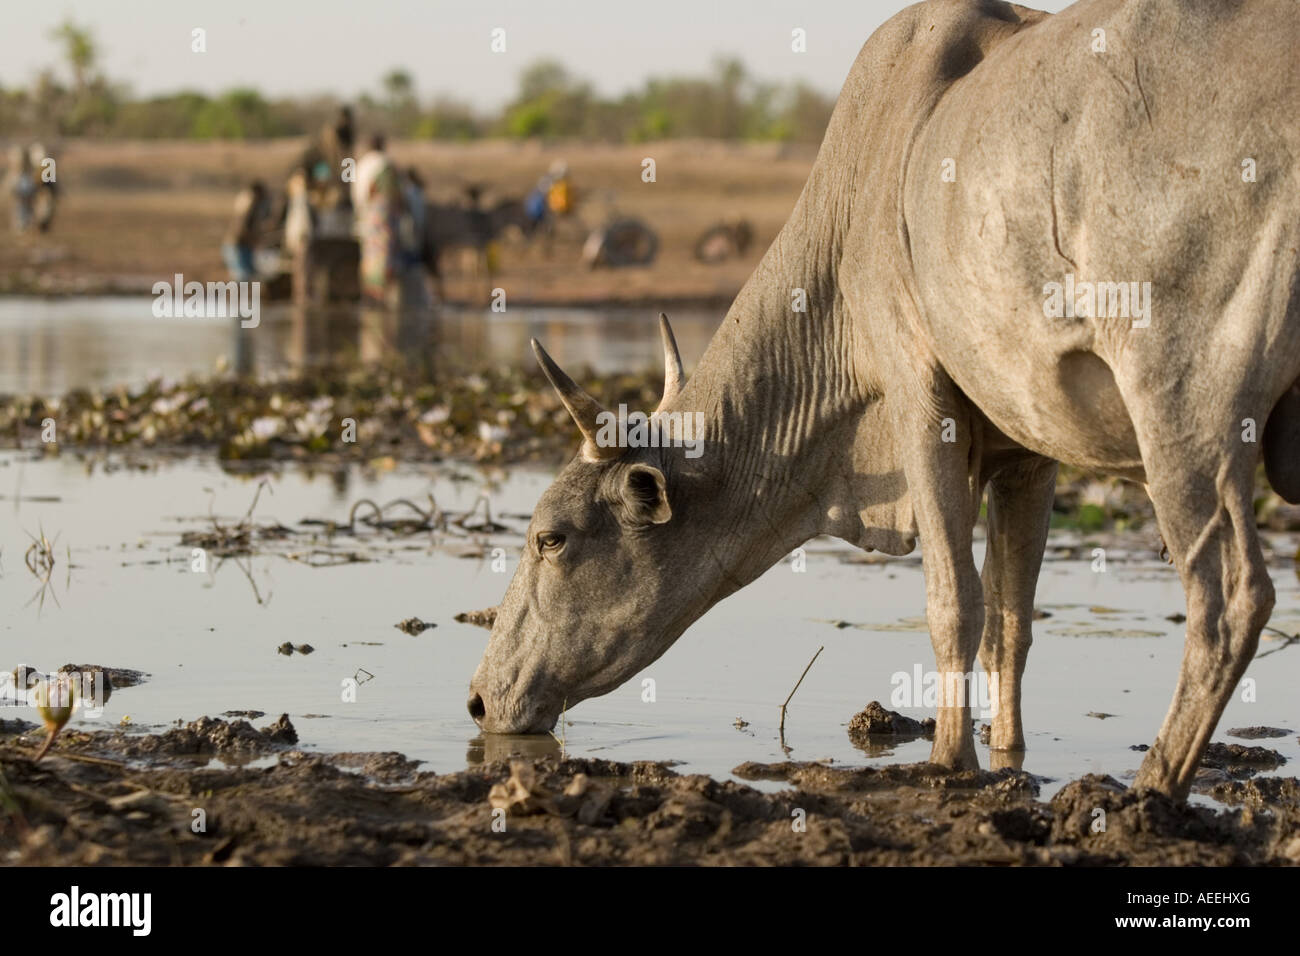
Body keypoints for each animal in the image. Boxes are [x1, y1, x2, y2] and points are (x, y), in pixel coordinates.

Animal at [467, 0, 1300, 801]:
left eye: (551, 539)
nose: (477, 699)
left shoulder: (920, 396)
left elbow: (954, 602)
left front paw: (948, 761)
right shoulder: (1027, 454)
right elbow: (1010, 622)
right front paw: (1008, 757)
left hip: (1182, 405)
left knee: (1232, 597)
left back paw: (1154, 787)